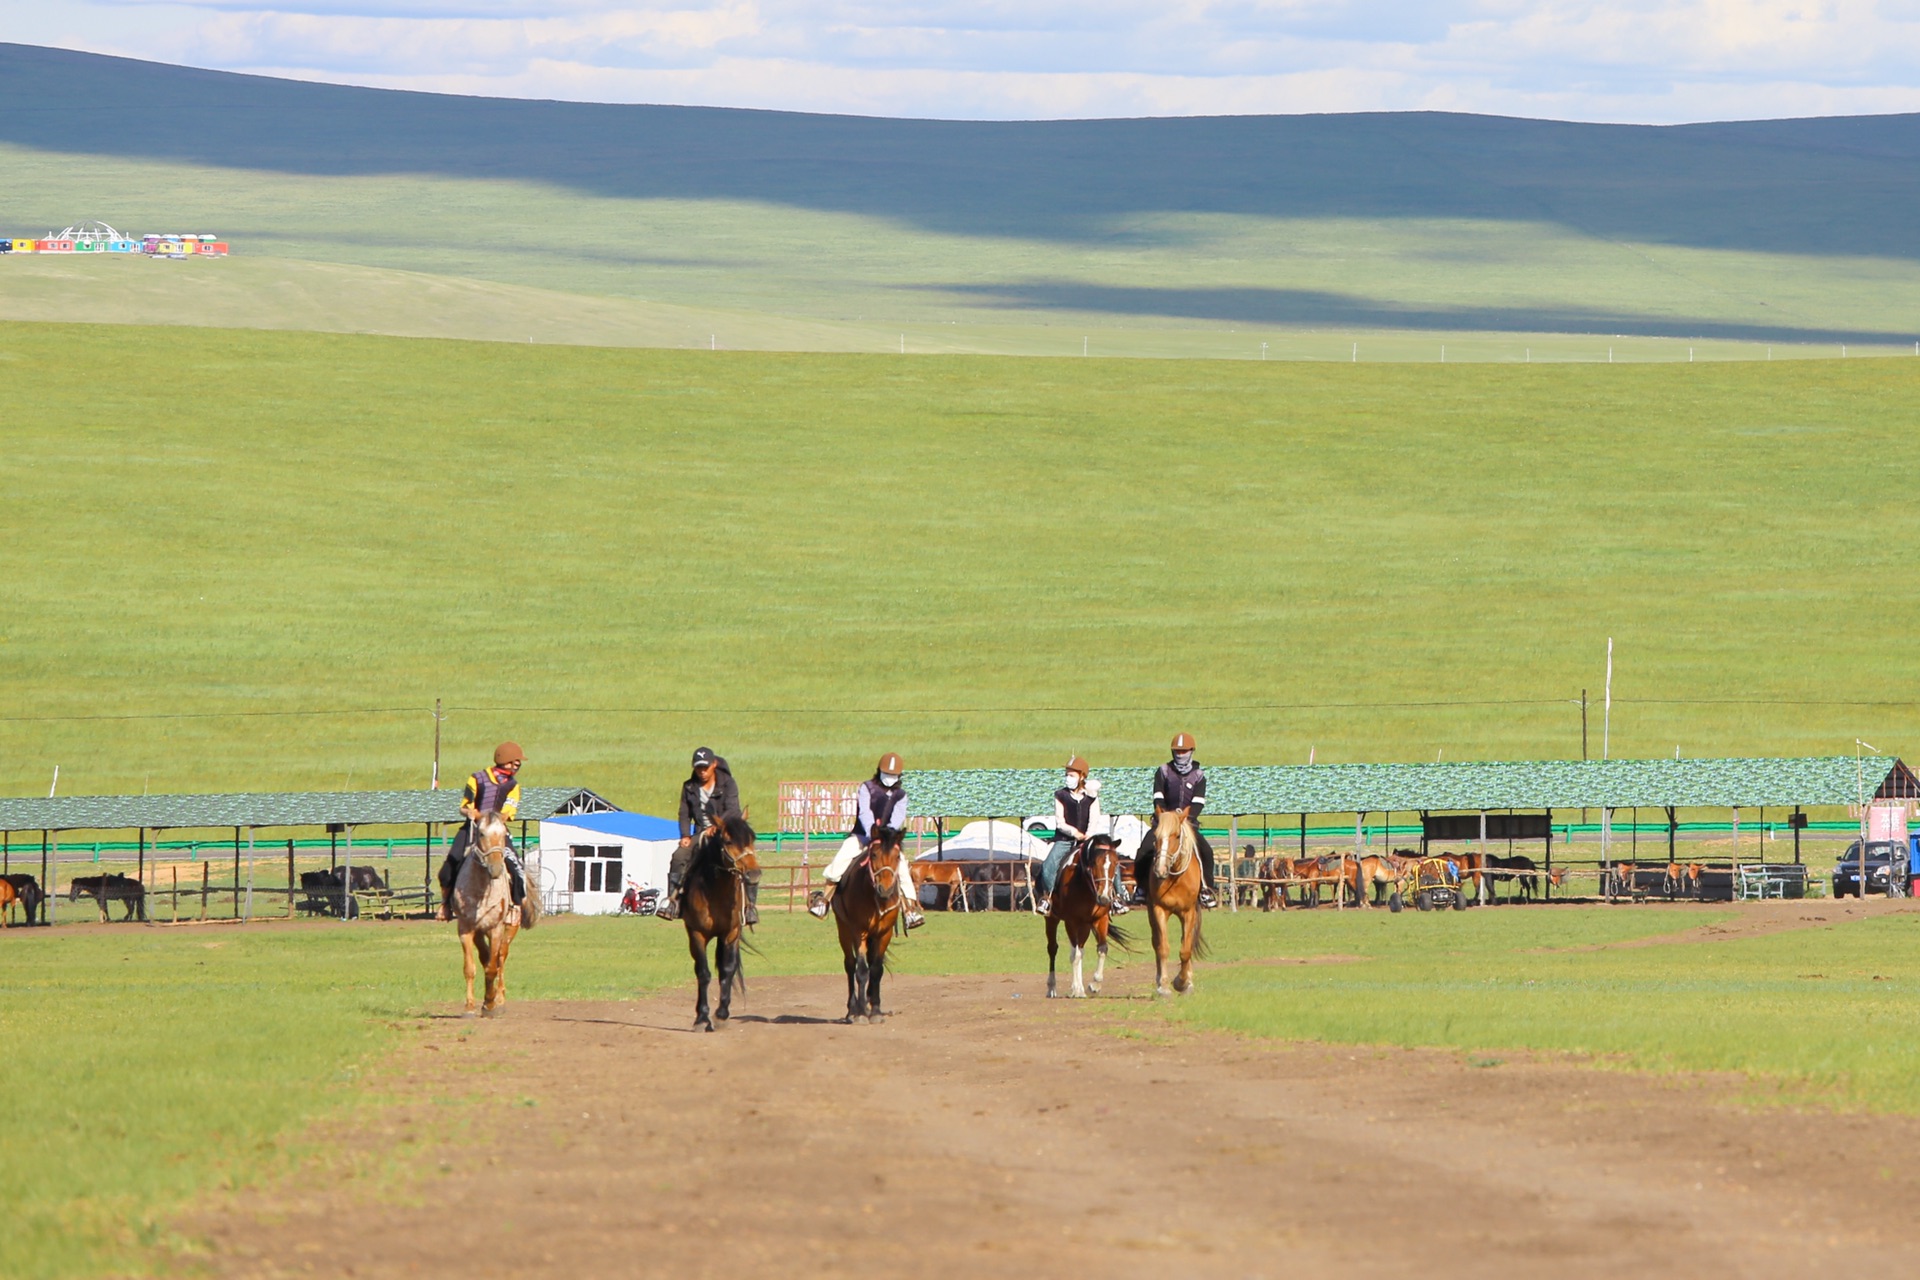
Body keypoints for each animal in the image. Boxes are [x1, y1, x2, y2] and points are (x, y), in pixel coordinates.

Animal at [449, 817, 533, 1013]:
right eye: (481, 833)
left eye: (503, 833)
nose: (495, 868)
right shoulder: (466, 929)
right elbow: (471, 967)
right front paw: (470, 1005)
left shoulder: (496, 929)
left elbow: (493, 967)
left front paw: (489, 1003)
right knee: (487, 957)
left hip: (510, 928)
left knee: (501, 957)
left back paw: (499, 998)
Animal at [683, 817, 756, 1036]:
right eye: (728, 841)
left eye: (753, 839)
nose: (754, 873)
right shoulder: (697, 934)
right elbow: (703, 973)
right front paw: (701, 1017)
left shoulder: (731, 933)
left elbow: (728, 970)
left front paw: (722, 1014)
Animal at [833, 825, 906, 1028]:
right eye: (873, 855)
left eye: (898, 856)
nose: (885, 889)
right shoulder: (859, 932)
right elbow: (862, 971)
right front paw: (860, 1014)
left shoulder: (884, 934)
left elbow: (876, 970)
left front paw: (875, 1011)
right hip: (844, 930)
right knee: (850, 965)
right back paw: (853, 1009)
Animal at [1044, 836, 1128, 997]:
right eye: (1094, 863)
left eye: (1116, 863)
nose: (1104, 898)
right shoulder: (1071, 922)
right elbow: (1075, 955)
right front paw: (1077, 990)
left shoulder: (1100, 919)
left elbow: (1102, 949)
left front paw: (1094, 984)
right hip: (1052, 919)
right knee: (1053, 949)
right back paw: (1052, 988)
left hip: (1085, 926)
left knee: (1079, 950)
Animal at [1144, 809, 1205, 997]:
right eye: (1156, 836)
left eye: (1177, 836)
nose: (1160, 870)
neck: (1175, 879)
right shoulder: (1159, 910)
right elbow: (1163, 947)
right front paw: (1164, 986)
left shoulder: (1189, 912)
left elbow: (1185, 949)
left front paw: (1182, 982)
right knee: (1156, 942)